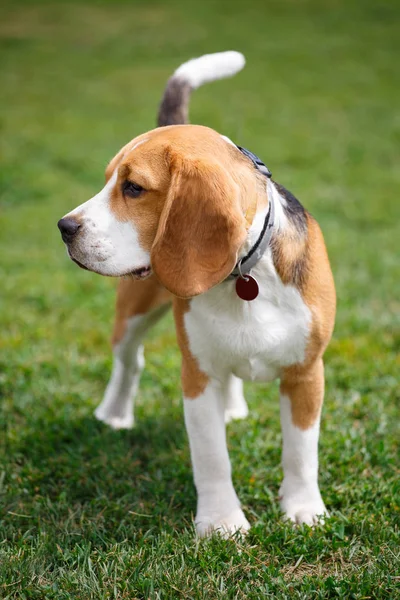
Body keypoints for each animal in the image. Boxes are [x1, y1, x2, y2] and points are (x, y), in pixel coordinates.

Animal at [57, 51, 336, 536]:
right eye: (108, 181)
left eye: (133, 188)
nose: (64, 227)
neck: (245, 273)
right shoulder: (197, 375)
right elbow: (211, 458)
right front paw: (222, 522)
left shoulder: (306, 373)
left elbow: (301, 453)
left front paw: (303, 510)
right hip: (133, 313)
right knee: (129, 361)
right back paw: (114, 413)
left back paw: (233, 406)